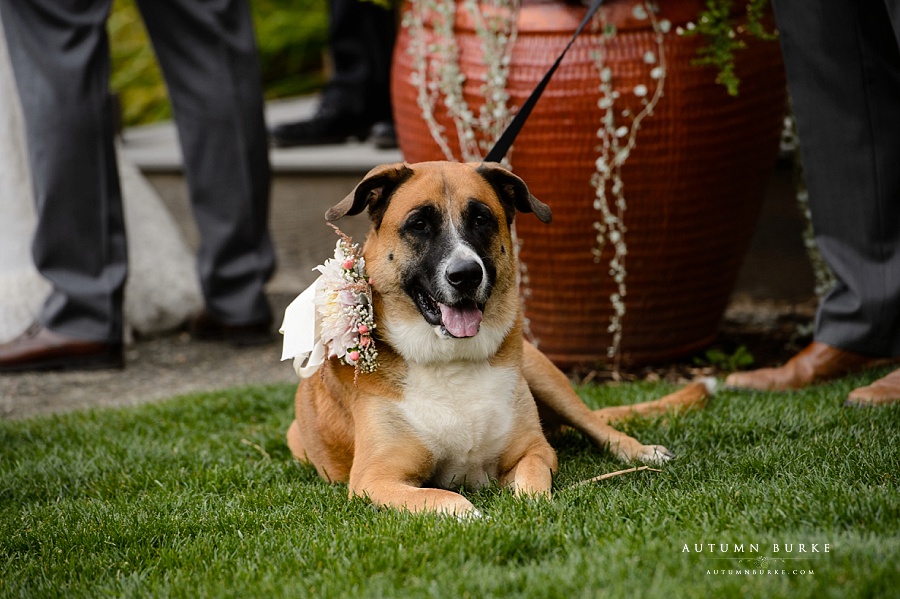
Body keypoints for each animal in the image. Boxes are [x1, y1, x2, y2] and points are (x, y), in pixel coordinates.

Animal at [288, 161, 712, 516]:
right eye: (419, 224)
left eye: (481, 218)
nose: (465, 275)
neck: (449, 359)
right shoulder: (375, 479)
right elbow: (440, 495)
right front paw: (472, 515)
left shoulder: (535, 451)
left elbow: (534, 481)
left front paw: (529, 506)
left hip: (545, 376)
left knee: (599, 427)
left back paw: (642, 452)